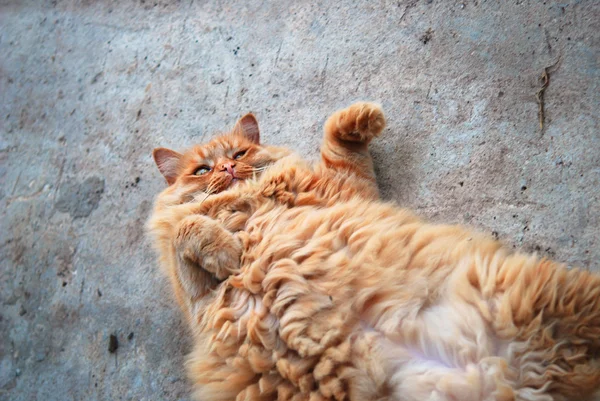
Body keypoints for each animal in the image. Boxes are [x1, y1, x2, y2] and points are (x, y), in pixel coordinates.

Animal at [146, 103, 600, 400]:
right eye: (202, 169)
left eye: (239, 154)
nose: (226, 169)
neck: (244, 202)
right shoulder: (195, 297)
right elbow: (187, 229)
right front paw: (225, 249)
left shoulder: (343, 188)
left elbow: (337, 142)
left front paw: (361, 117)